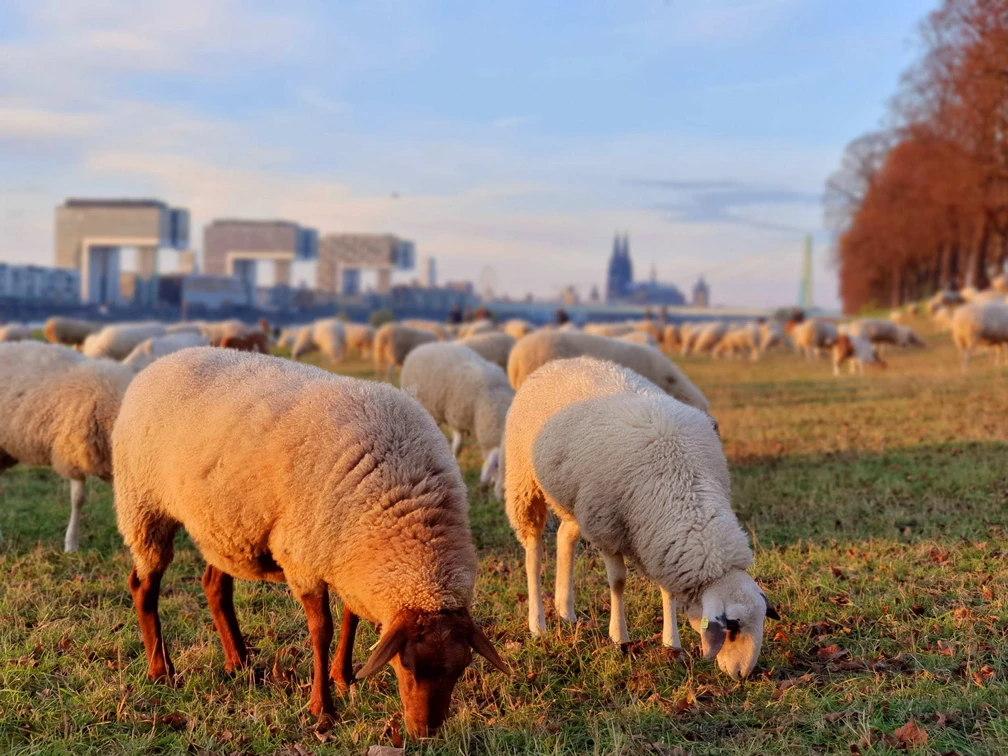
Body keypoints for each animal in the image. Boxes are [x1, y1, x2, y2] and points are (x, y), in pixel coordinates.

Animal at [500, 357, 777, 678]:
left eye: (761, 621)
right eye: (732, 628)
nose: (743, 675)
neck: (682, 483)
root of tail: (560, 362)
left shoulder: (659, 539)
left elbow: (667, 591)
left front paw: (671, 644)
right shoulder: (607, 527)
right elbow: (618, 582)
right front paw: (619, 638)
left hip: (575, 500)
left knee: (564, 537)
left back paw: (566, 611)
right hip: (524, 481)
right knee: (533, 553)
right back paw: (538, 624)